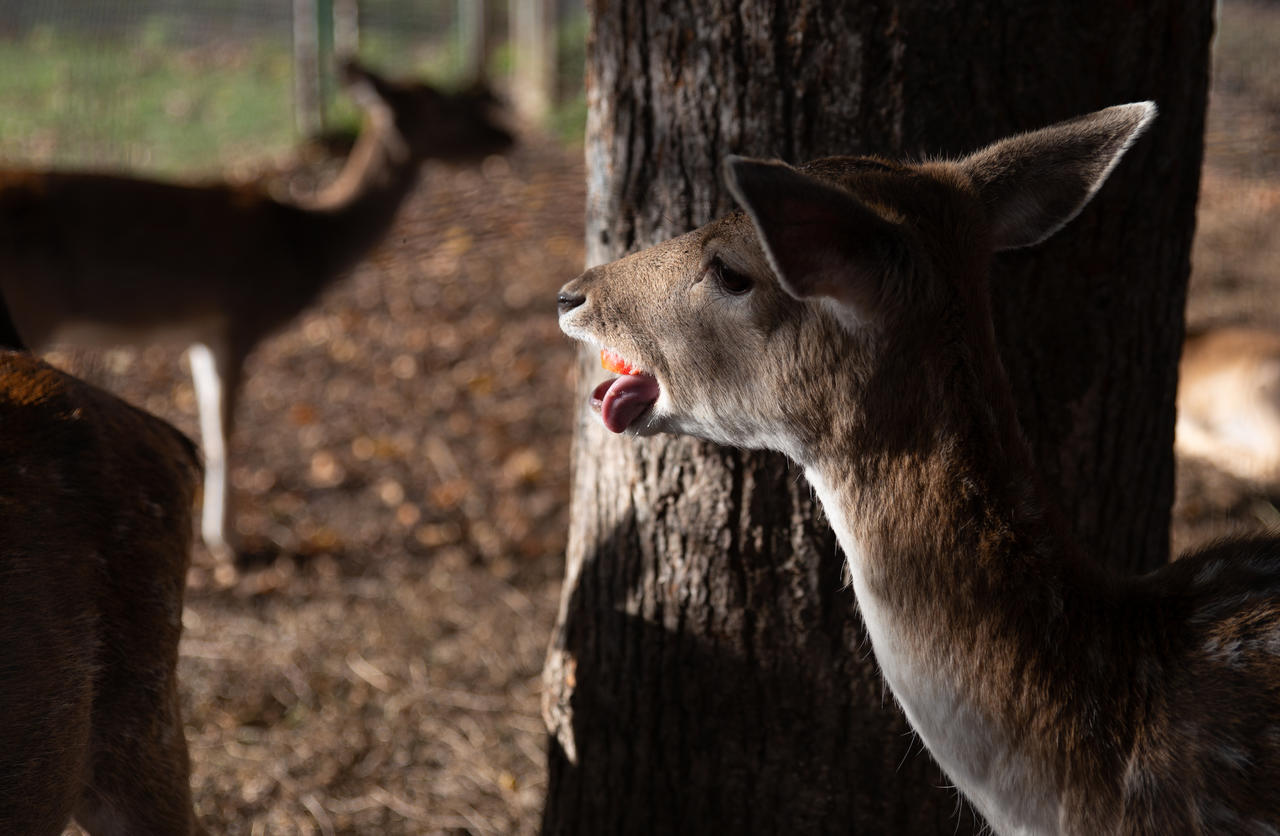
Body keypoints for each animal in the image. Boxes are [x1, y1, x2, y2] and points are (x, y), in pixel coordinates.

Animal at [0, 62, 509, 563]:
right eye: (442, 107)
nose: (505, 135)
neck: (307, 244)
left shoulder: (200, 335)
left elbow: (210, 423)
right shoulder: (238, 320)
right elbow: (225, 432)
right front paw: (228, 543)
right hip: (35, 310)